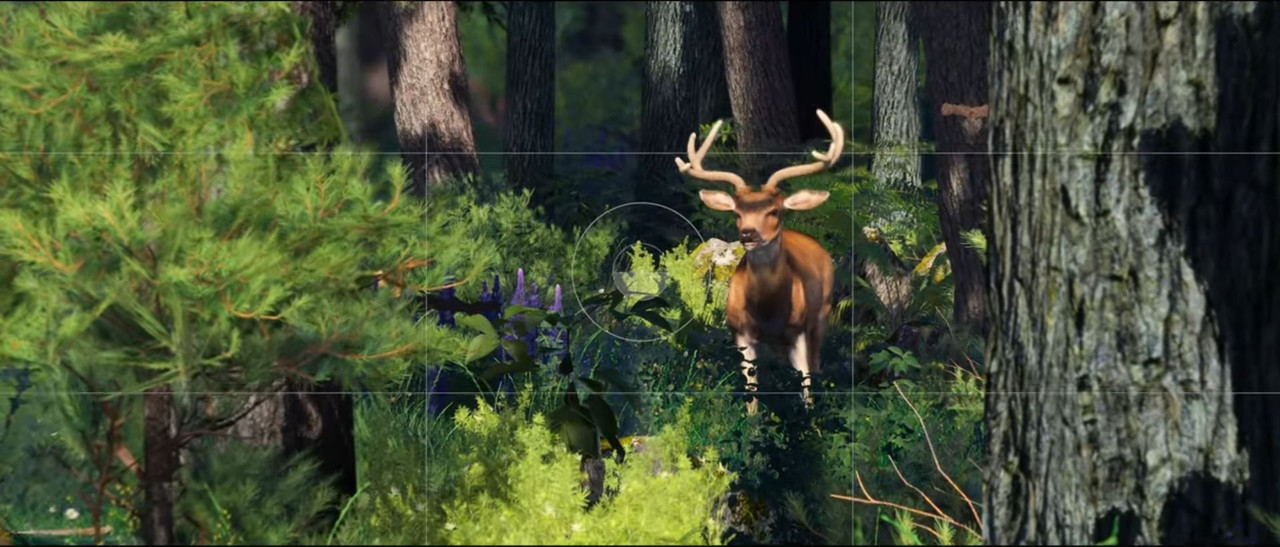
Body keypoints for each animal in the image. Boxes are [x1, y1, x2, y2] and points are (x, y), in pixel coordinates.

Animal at [675, 110, 843, 414]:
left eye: (774, 211)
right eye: (737, 213)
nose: (748, 234)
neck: (768, 313)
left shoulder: (799, 330)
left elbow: (806, 382)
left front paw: (810, 417)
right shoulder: (740, 333)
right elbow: (751, 390)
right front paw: (753, 423)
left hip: (823, 311)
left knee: (816, 363)